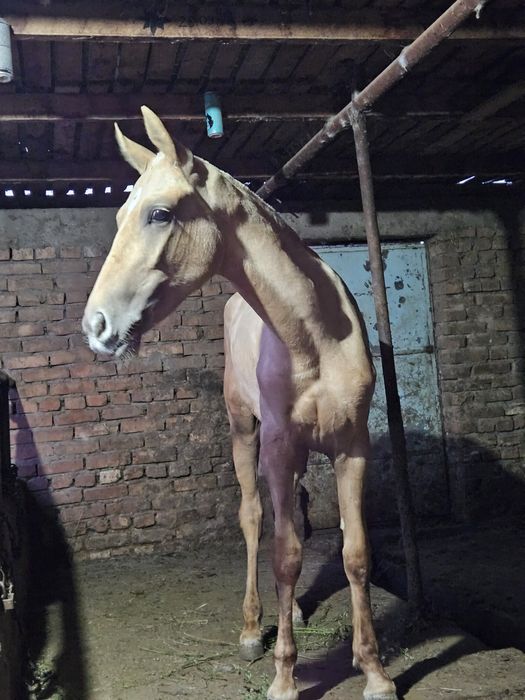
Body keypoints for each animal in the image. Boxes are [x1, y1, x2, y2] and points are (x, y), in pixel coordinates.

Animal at [82, 106, 397, 700]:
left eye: (160, 213)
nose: (96, 327)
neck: (317, 337)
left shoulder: (352, 447)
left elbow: (355, 554)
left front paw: (374, 672)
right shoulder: (275, 444)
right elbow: (285, 554)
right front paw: (284, 676)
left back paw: (292, 613)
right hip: (245, 432)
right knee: (254, 519)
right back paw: (254, 629)